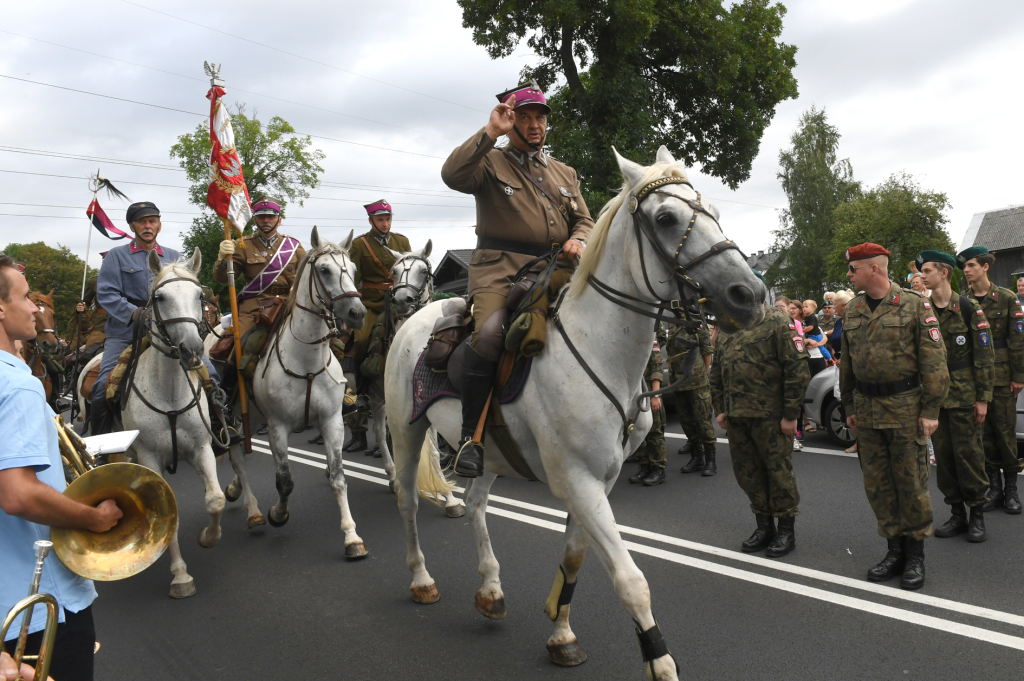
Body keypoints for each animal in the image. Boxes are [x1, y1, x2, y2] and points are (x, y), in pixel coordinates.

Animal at [120, 246, 260, 598]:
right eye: (159, 297)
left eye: (199, 295)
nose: (192, 348)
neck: (169, 391)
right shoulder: (149, 459)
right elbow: (165, 513)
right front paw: (180, 576)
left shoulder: (202, 448)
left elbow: (215, 500)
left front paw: (208, 538)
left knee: (238, 466)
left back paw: (253, 512)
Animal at [385, 146, 770, 675]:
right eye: (666, 218)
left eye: (712, 208)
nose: (749, 295)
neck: (598, 348)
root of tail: (412, 318)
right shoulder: (579, 481)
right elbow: (631, 580)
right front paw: (660, 661)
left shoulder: (598, 482)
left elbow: (573, 559)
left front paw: (561, 636)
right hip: (406, 432)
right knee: (406, 501)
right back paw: (422, 579)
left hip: (489, 451)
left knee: (478, 503)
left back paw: (491, 590)